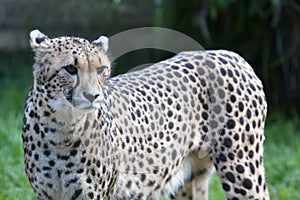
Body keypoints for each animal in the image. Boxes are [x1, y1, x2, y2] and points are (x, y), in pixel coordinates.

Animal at [22, 30, 268, 200]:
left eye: (101, 69)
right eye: (70, 69)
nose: (93, 96)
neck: (61, 128)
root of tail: (227, 54)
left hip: (241, 168)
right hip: (190, 176)